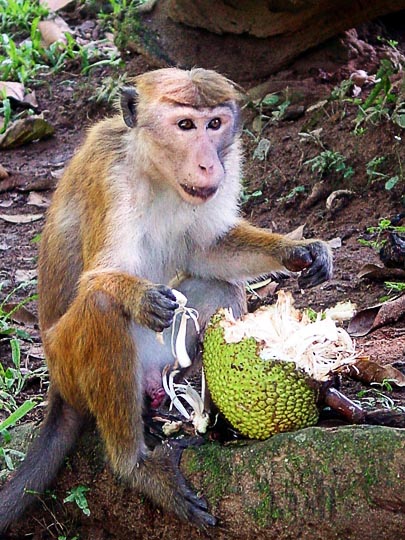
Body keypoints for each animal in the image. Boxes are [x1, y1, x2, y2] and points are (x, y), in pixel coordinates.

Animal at [0, 66, 330, 532]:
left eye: (215, 124)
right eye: (185, 125)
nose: (209, 162)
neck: (156, 173)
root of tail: (58, 392)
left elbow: (209, 250)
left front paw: (298, 250)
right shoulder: (111, 177)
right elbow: (96, 280)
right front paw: (138, 297)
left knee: (222, 287)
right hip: (69, 364)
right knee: (102, 309)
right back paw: (134, 465)